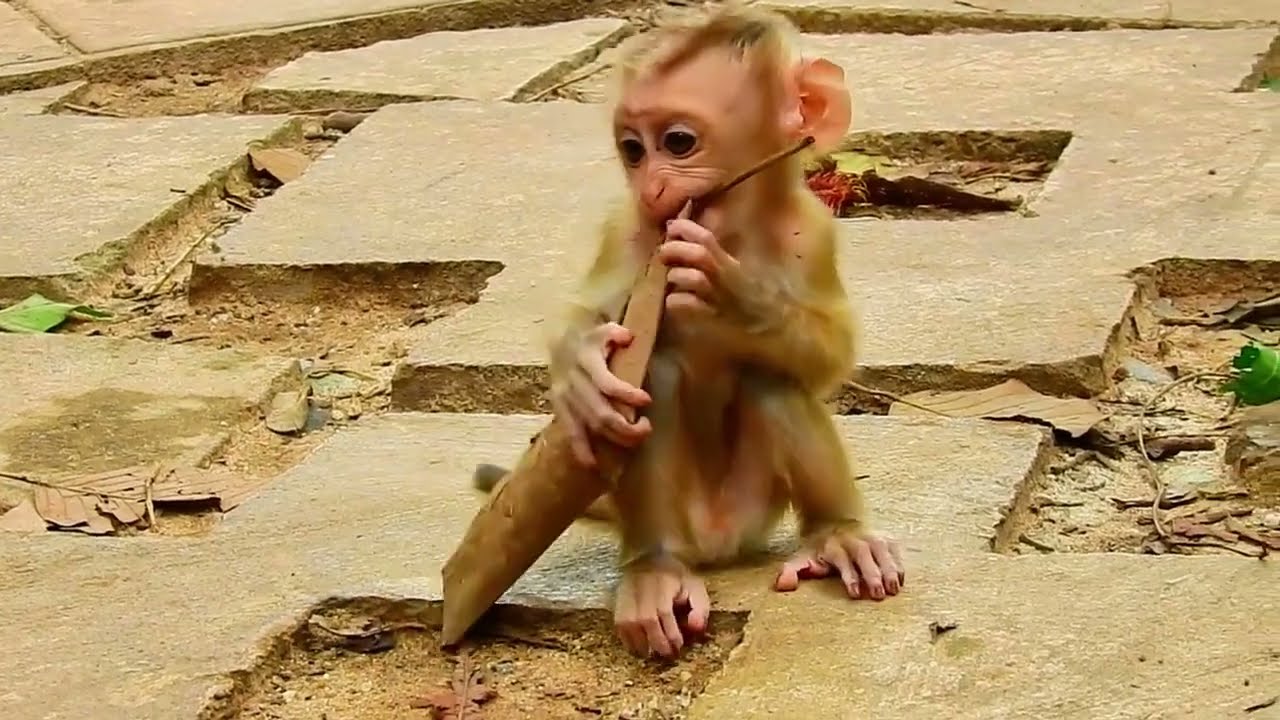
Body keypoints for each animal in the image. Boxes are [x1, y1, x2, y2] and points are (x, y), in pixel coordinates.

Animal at [472, 2, 904, 659]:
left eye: (677, 142)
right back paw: (656, 569)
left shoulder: (812, 231)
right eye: (631, 150)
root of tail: (717, 544)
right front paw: (583, 375)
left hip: (755, 508)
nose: (650, 184)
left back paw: (838, 534)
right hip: (683, 518)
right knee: (653, 377)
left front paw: (736, 299)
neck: (732, 228)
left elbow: (831, 356)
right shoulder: (632, 227)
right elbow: (586, 316)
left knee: (771, 377)